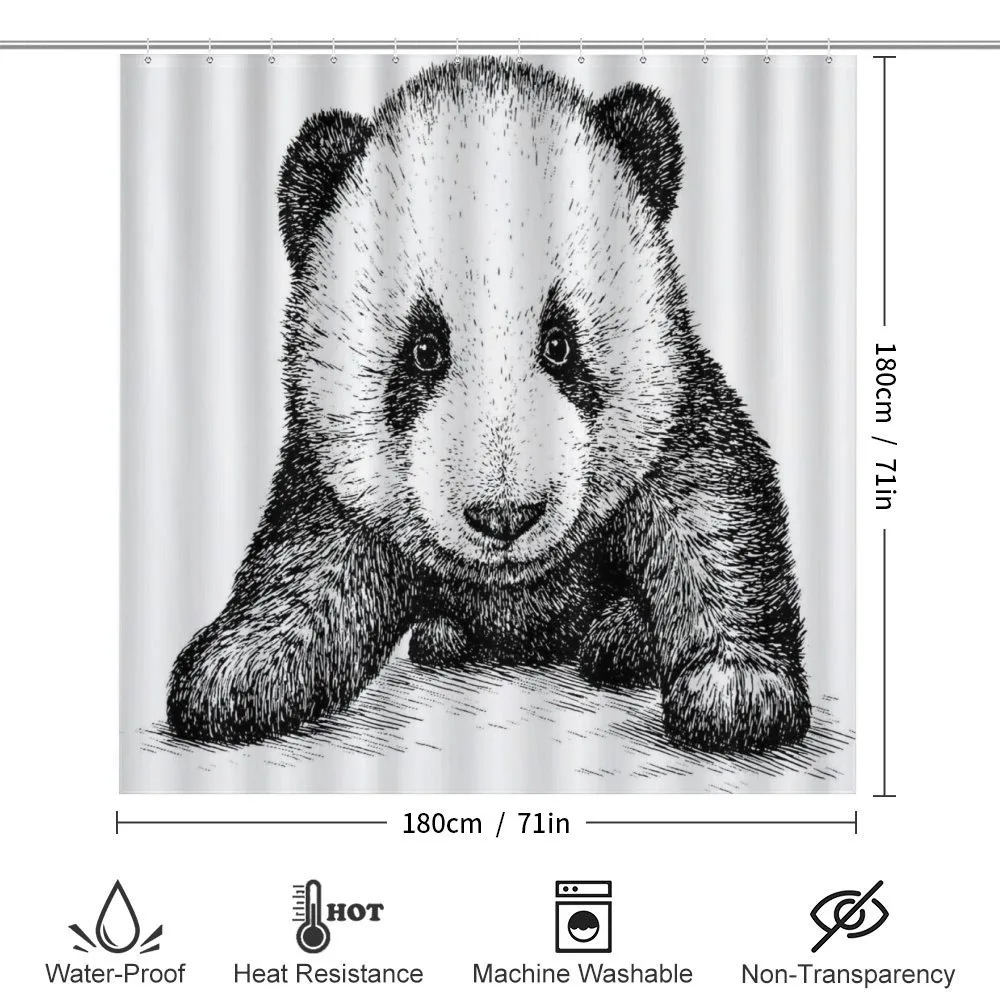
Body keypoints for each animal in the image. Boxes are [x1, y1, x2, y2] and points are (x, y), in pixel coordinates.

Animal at [167, 58, 810, 753]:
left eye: (559, 344)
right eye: (424, 351)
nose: (505, 516)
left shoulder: (669, 410)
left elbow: (712, 515)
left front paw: (737, 690)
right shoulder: (340, 471)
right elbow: (311, 563)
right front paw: (236, 671)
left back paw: (621, 638)